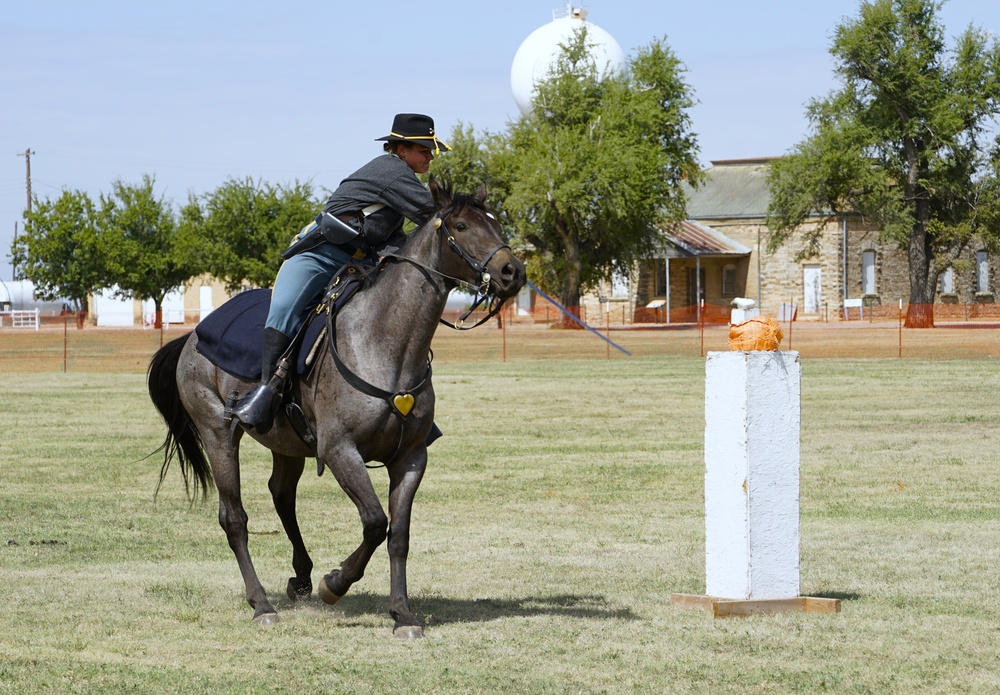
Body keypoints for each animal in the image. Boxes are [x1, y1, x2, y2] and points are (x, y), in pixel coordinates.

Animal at [147, 181, 528, 640]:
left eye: (496, 224)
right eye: (461, 225)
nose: (513, 272)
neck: (384, 344)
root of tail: (192, 336)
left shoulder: (411, 458)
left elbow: (398, 534)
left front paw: (403, 614)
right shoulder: (340, 451)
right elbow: (375, 522)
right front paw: (336, 583)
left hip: (286, 443)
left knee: (282, 495)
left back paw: (301, 577)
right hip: (217, 433)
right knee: (234, 518)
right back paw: (262, 604)